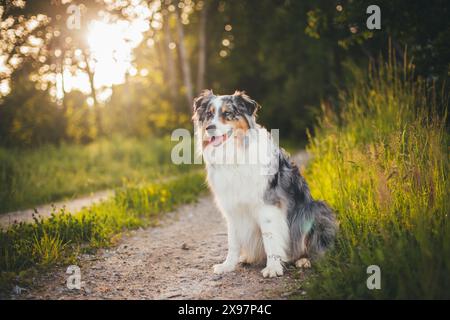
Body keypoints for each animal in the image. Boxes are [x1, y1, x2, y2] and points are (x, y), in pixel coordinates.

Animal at [192, 90, 336, 278]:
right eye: (209, 115)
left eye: (227, 113)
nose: (209, 128)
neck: (234, 154)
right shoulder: (232, 208)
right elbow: (232, 241)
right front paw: (227, 265)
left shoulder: (268, 206)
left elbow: (270, 238)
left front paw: (273, 267)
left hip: (315, 208)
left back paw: (304, 260)